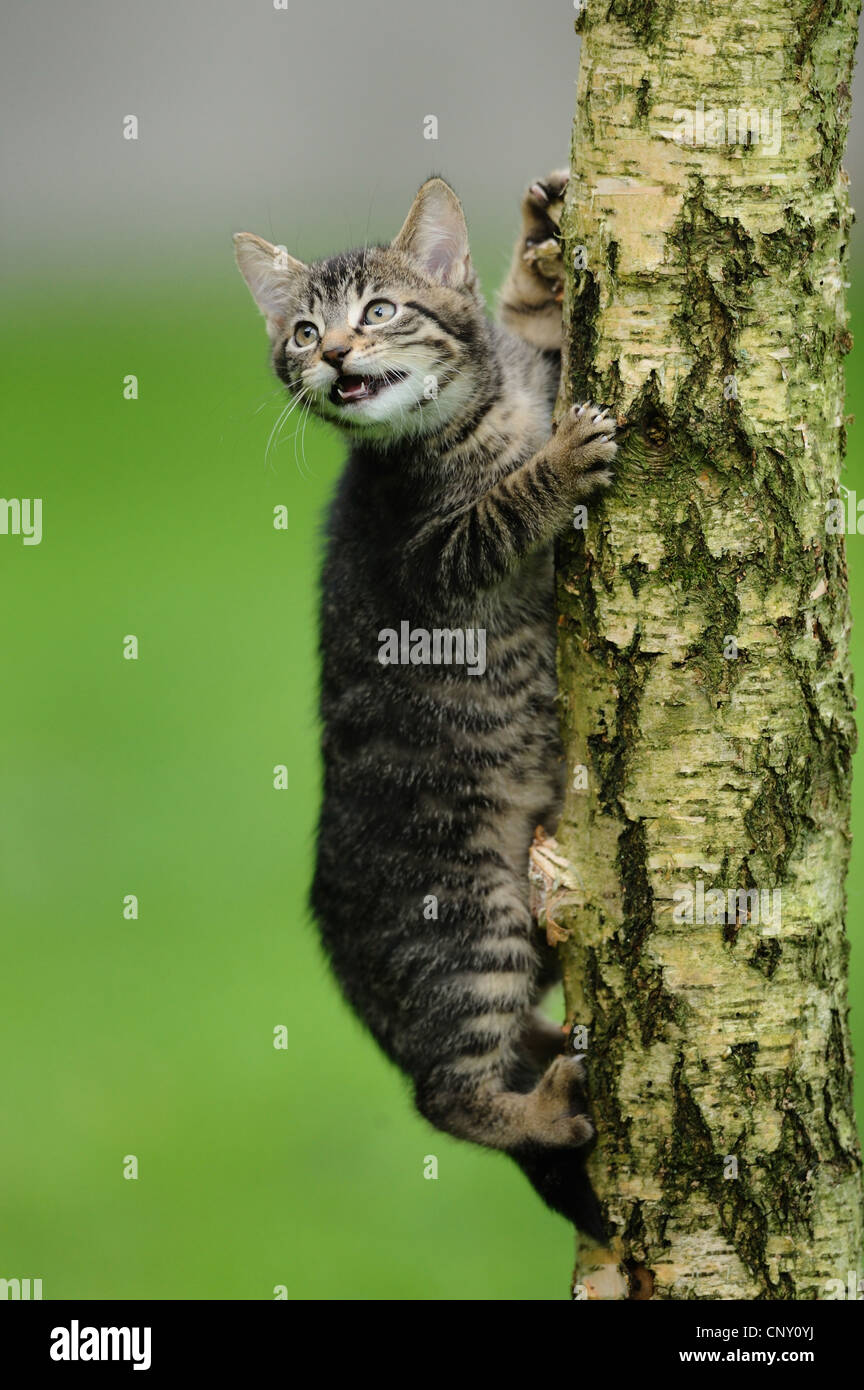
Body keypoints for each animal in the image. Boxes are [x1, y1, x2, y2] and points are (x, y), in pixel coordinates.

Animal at [234, 176, 616, 1239]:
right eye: (302, 330)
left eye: (379, 310)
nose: (331, 354)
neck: (486, 410)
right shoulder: (430, 560)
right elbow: (499, 513)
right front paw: (556, 466)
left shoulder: (533, 371)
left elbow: (532, 334)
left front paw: (535, 256)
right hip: (467, 920)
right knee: (446, 1092)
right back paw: (542, 1104)